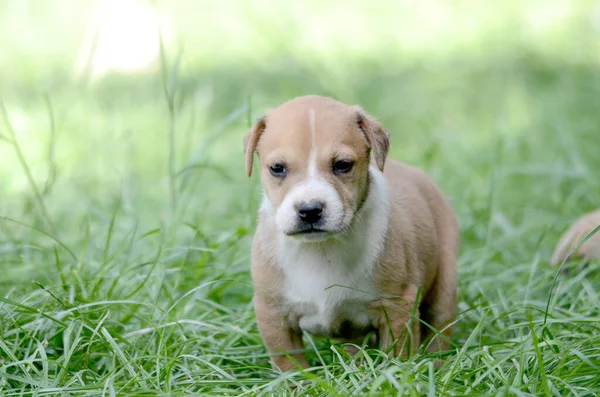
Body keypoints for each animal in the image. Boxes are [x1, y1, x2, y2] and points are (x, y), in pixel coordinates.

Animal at [244, 94, 460, 370]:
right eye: (277, 168)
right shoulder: (273, 313)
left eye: (343, 165)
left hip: (445, 283)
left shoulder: (397, 306)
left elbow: (396, 353)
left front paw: (393, 374)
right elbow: (289, 362)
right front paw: (297, 380)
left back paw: (436, 363)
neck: (320, 249)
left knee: (439, 327)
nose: (309, 210)